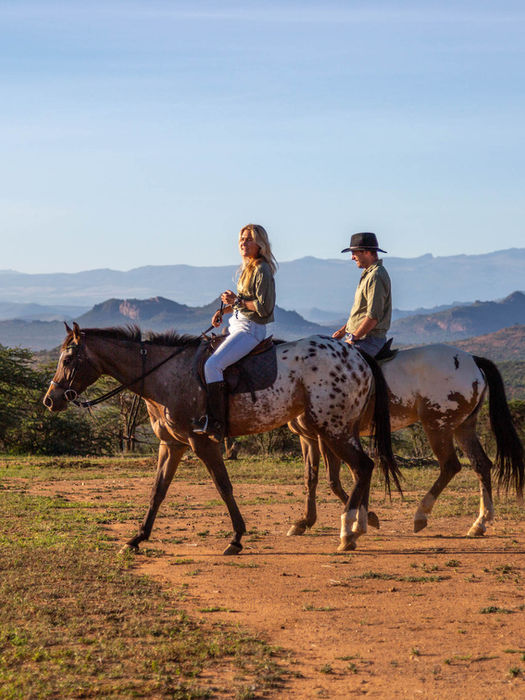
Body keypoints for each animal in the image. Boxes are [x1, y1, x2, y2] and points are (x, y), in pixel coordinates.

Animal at [43, 322, 401, 554]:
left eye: (68, 359)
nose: (50, 399)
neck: (165, 374)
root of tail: (356, 355)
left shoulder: (202, 442)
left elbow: (223, 486)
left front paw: (237, 538)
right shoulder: (171, 445)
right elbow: (158, 491)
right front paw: (137, 538)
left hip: (332, 429)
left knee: (363, 467)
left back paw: (349, 532)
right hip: (337, 429)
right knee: (359, 470)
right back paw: (359, 523)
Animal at [287, 344, 524, 539]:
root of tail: (473, 360)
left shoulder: (326, 436)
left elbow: (333, 481)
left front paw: (368, 517)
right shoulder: (307, 438)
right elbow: (311, 478)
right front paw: (305, 521)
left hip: (438, 426)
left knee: (450, 466)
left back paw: (421, 515)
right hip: (463, 427)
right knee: (481, 464)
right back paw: (479, 523)